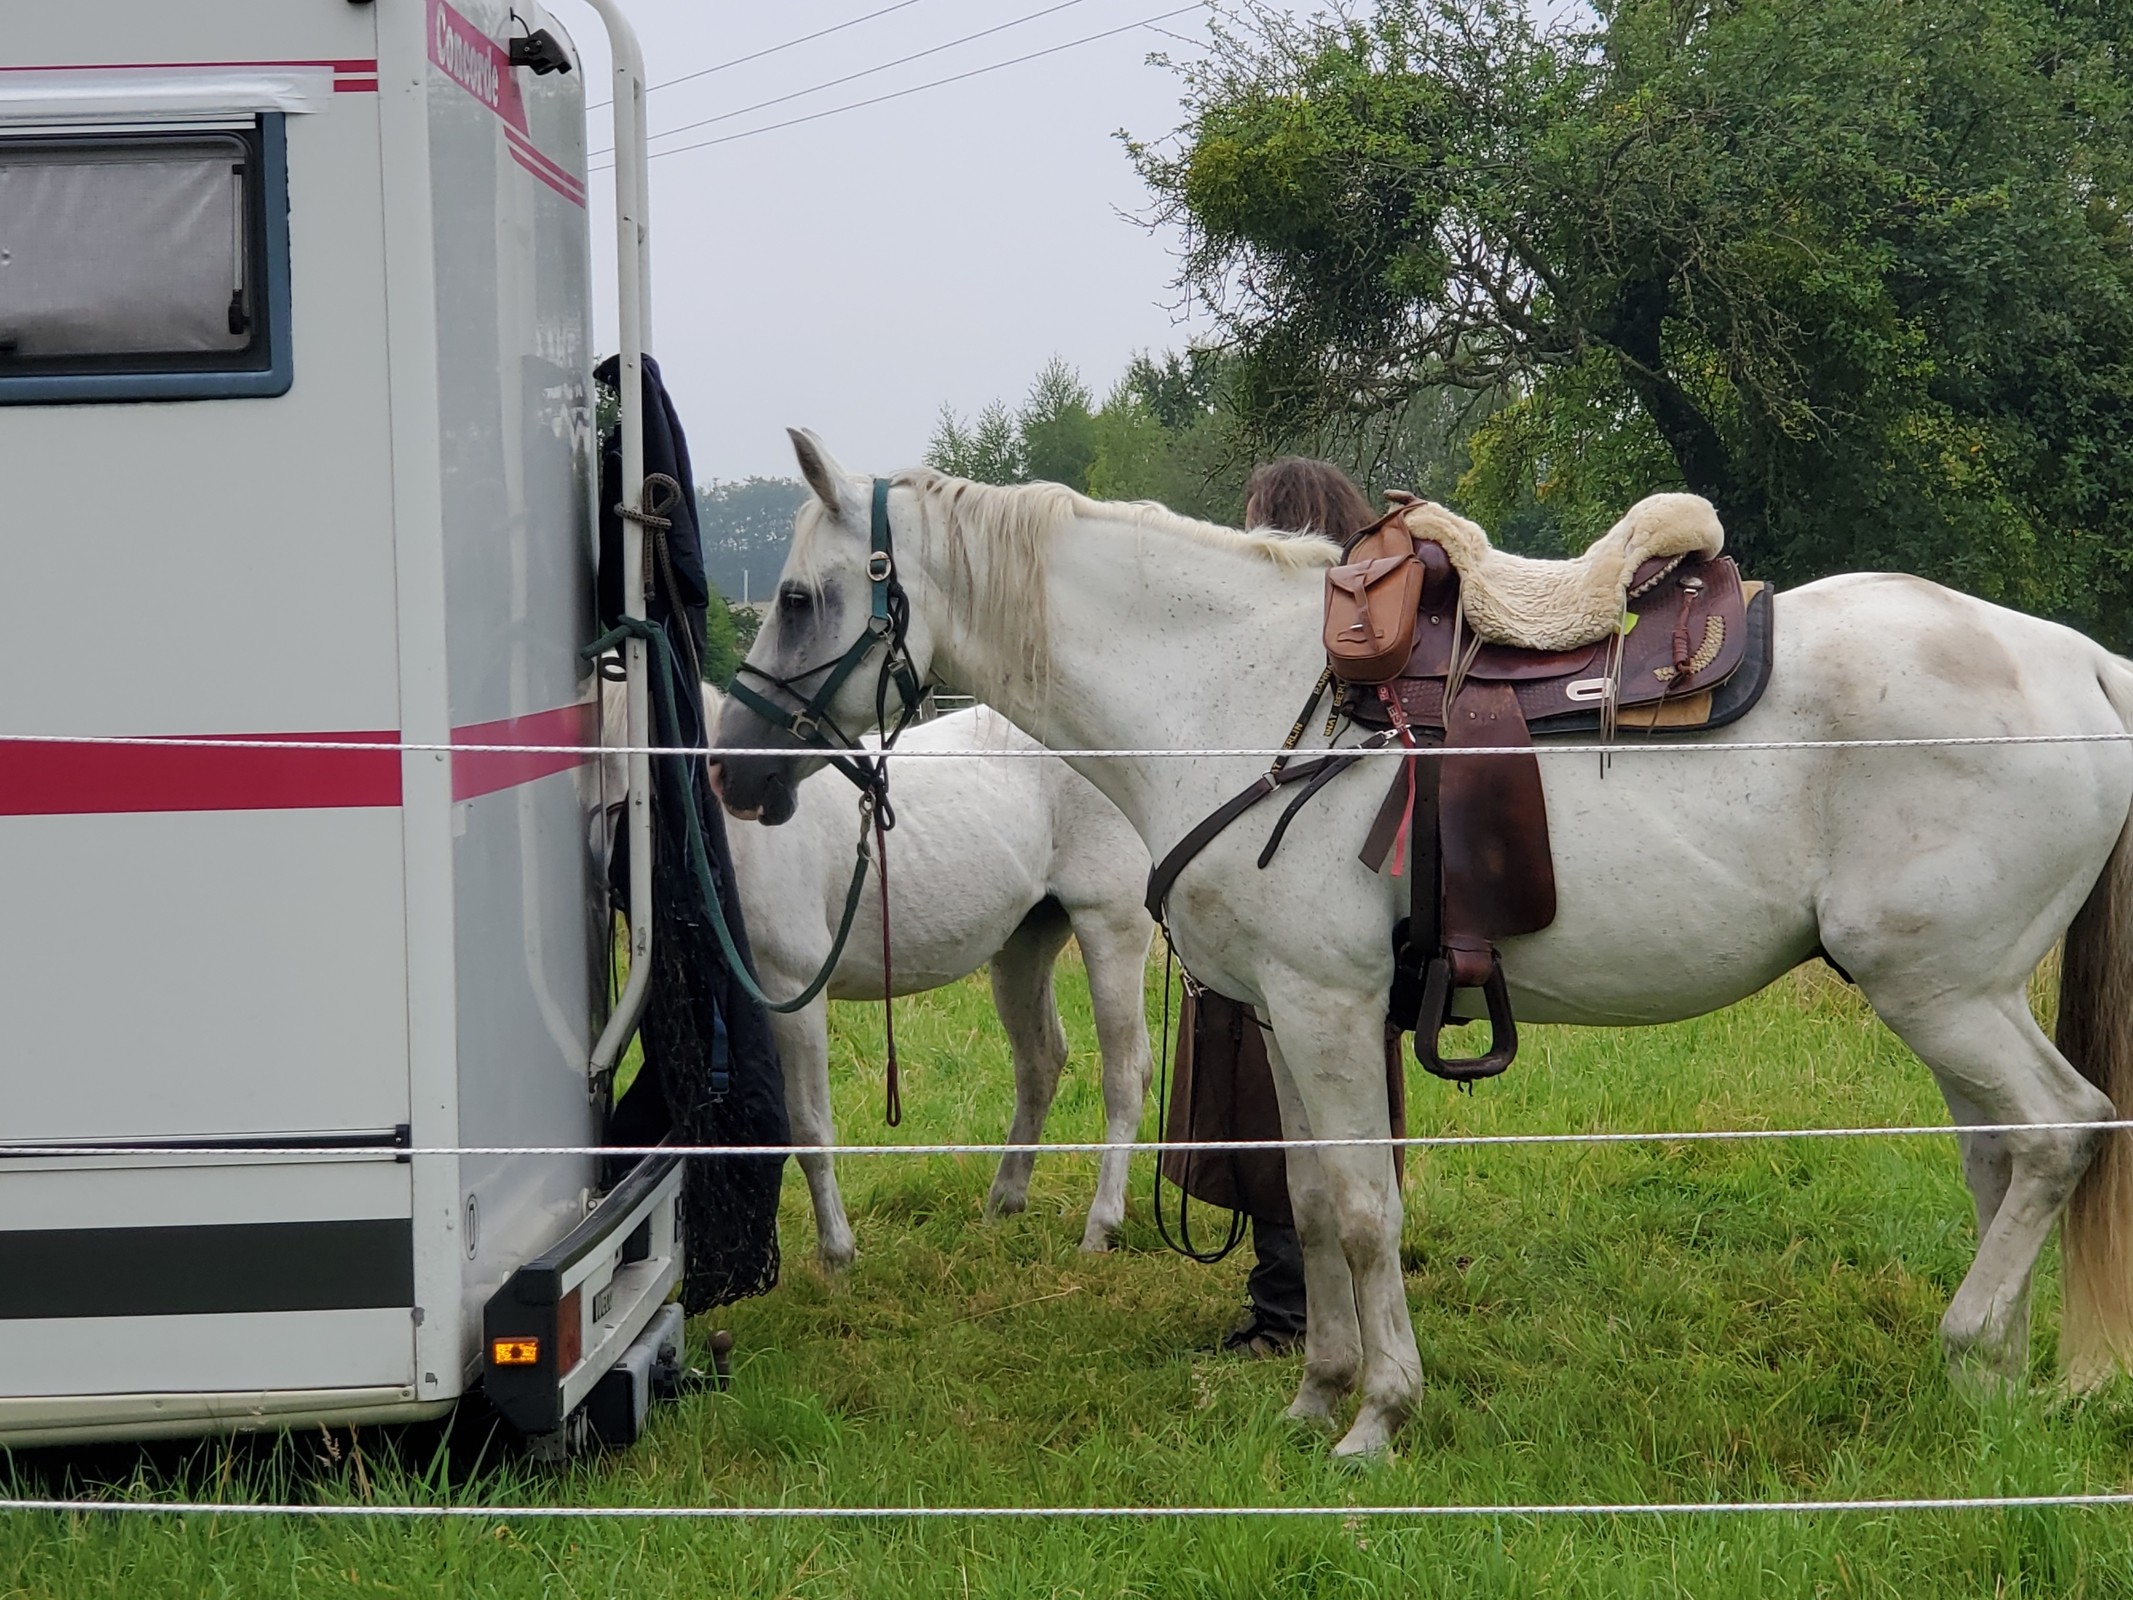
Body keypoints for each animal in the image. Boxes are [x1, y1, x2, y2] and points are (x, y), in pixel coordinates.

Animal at [600, 681, 1155, 1266]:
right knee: (1040, 1062)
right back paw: (1004, 1203)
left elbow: (809, 1127)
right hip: (1025, 943)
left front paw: (837, 1255)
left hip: (1110, 927)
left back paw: (1099, 1227)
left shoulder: (790, 990)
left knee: (1125, 1075)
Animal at [714, 428, 2133, 1460]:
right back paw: (1993, 1391)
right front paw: (1314, 1396)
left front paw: (1380, 1415)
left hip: (1942, 993)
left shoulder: (1331, 1008)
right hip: (1950, 999)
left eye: (796, 596)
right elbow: (1300, 1198)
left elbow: (1358, 1208)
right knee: (2003, 1156)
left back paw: (1968, 1344)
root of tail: (2086, 665)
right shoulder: (1285, 1013)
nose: (730, 768)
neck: (1231, 691)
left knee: (2059, 1131)